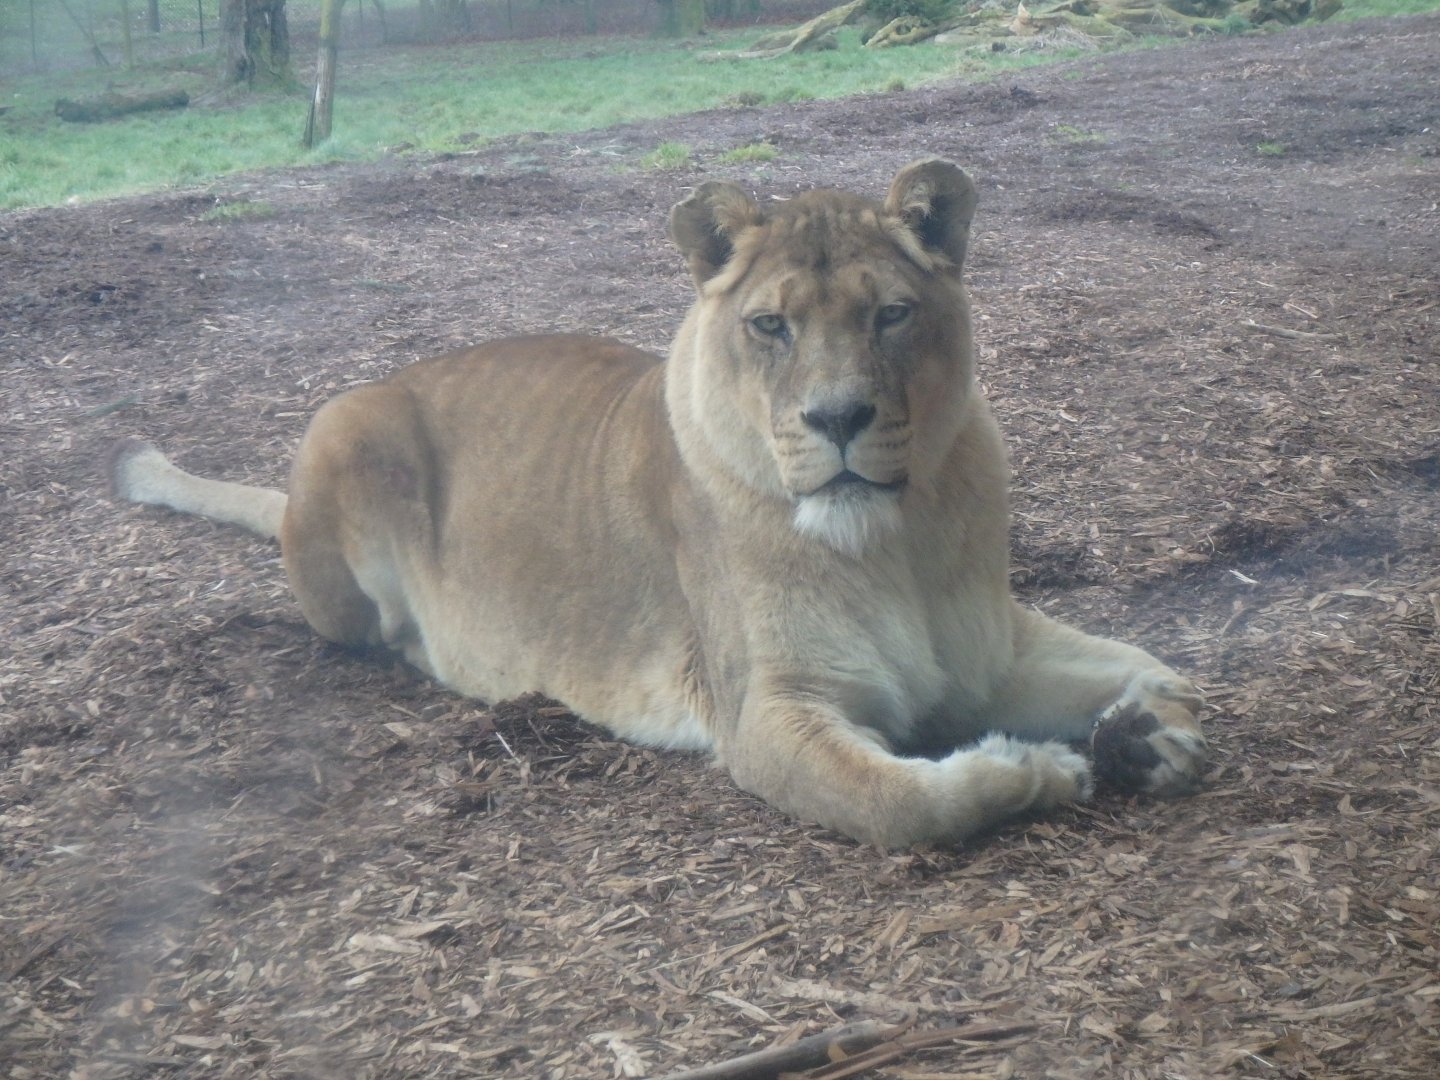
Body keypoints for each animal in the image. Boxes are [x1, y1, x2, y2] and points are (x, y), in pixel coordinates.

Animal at [110, 159, 1206, 848]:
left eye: (892, 314)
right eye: (769, 326)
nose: (838, 417)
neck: (890, 538)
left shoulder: (992, 646)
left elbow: (1153, 663)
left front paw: (1149, 727)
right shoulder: (767, 712)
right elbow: (904, 807)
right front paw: (1039, 769)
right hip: (343, 427)